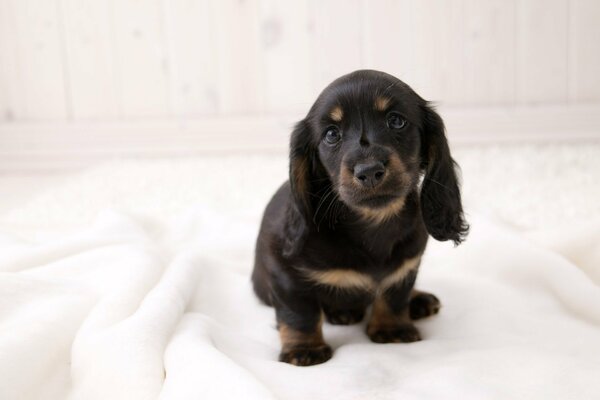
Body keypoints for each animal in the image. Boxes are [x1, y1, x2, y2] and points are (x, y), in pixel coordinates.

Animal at [251, 69, 466, 366]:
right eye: (331, 134)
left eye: (396, 121)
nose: (369, 171)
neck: (371, 223)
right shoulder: (283, 272)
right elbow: (299, 312)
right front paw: (304, 348)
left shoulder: (406, 266)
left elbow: (394, 293)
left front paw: (392, 329)